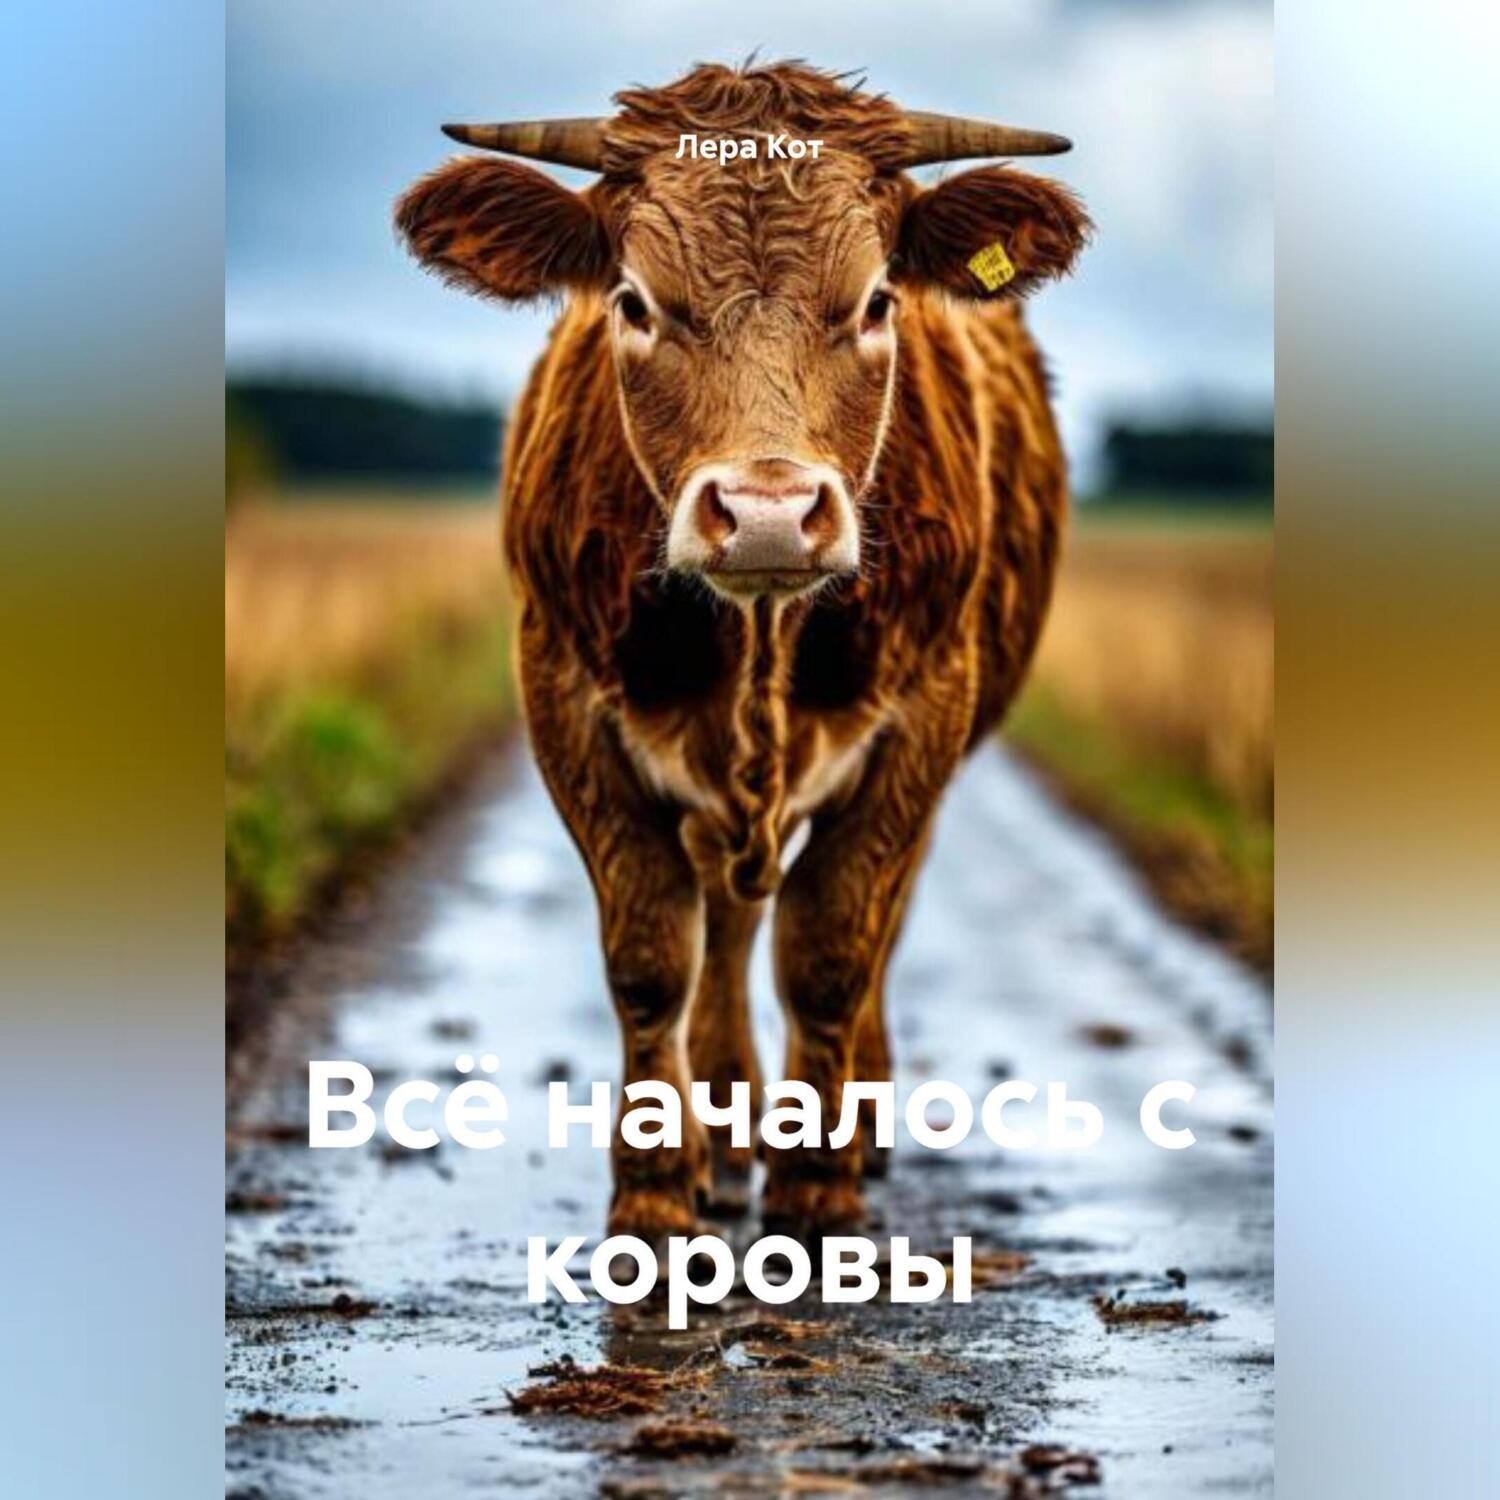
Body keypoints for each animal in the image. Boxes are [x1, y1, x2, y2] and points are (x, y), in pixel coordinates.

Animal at [397, 61, 1089, 1240]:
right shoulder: (566, 703)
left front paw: (816, 1183)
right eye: (634, 302)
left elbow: (831, 952)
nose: (768, 515)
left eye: (876, 302)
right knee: (724, 925)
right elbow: (651, 959)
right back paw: (722, 1140)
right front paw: (654, 1195)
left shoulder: (921, 722)